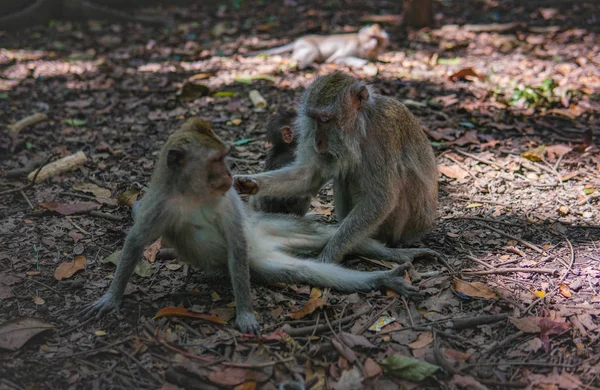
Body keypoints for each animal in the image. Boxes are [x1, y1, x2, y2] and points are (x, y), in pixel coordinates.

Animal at [82, 118, 424, 336]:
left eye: (225, 157)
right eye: (216, 160)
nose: (229, 173)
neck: (194, 193)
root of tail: (265, 242)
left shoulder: (228, 203)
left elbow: (235, 241)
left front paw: (245, 313)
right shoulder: (159, 203)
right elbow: (136, 241)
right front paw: (111, 298)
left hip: (265, 224)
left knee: (324, 236)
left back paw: (389, 257)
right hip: (263, 256)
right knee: (304, 271)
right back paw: (382, 277)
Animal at [236, 72, 440, 266]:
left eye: (326, 120)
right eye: (313, 119)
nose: (317, 142)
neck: (361, 125)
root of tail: (422, 229)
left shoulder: (383, 136)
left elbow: (380, 199)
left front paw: (329, 254)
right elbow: (310, 176)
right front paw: (249, 183)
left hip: (402, 228)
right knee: (344, 175)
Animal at [248, 23, 390, 69]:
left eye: (378, 40)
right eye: (372, 37)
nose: (374, 44)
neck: (361, 44)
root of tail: (300, 39)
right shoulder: (352, 46)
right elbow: (335, 59)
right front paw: (361, 63)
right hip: (306, 45)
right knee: (311, 53)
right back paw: (308, 64)